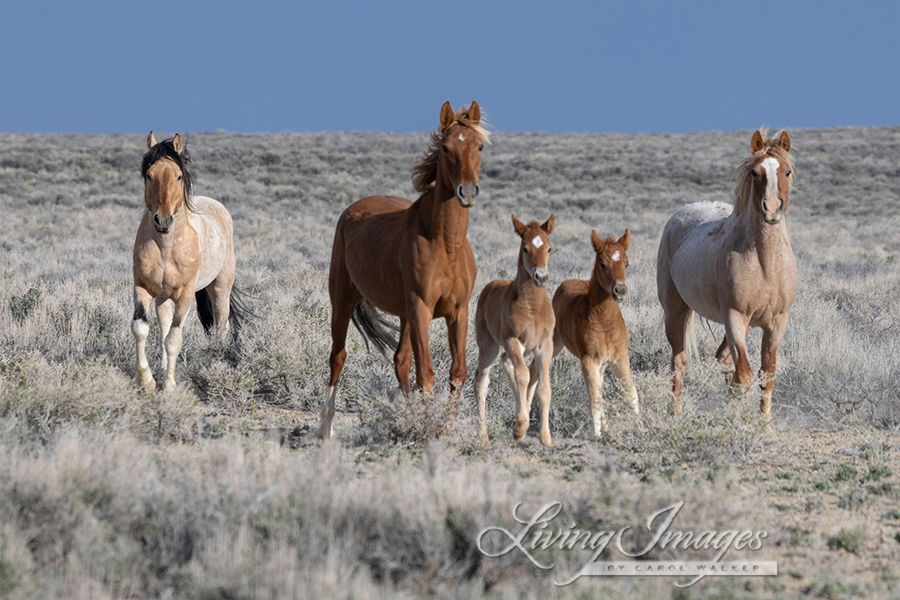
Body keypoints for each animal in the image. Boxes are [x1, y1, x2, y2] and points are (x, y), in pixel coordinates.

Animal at [131, 132, 246, 391]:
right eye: (149, 174)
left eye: (178, 175)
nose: (163, 220)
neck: (166, 246)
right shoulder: (142, 288)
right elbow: (142, 329)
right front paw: (147, 379)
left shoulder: (185, 295)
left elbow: (174, 338)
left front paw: (169, 385)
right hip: (163, 296)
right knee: (163, 327)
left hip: (220, 288)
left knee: (220, 326)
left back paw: (216, 361)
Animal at [317, 101, 489, 440]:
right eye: (446, 147)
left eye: (479, 146)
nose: (467, 192)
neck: (445, 243)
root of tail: (352, 211)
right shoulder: (421, 308)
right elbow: (426, 372)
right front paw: (428, 427)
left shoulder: (458, 311)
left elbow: (457, 371)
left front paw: (446, 428)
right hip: (344, 301)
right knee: (338, 357)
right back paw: (325, 428)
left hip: (406, 314)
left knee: (399, 360)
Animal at [473, 214, 556, 448]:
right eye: (525, 248)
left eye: (549, 248)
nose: (541, 276)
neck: (533, 307)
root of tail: (489, 285)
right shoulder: (513, 340)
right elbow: (523, 375)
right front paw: (519, 429)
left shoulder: (544, 346)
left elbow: (543, 388)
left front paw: (545, 437)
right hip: (488, 347)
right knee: (481, 382)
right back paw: (484, 438)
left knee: (508, 364)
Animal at [535, 229, 640, 437]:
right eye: (603, 263)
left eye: (626, 263)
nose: (620, 290)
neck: (605, 323)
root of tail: (566, 282)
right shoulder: (589, 361)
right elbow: (594, 399)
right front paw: (597, 436)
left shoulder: (620, 358)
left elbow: (630, 392)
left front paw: (642, 427)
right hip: (556, 343)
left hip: (602, 364)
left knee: (601, 385)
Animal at [656, 129, 796, 419]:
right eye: (755, 172)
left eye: (786, 172)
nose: (772, 209)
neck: (766, 264)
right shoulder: (735, 317)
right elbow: (745, 374)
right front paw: (743, 422)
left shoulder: (777, 322)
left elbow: (766, 375)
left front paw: (764, 424)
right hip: (675, 311)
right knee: (679, 362)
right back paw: (675, 414)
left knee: (723, 359)